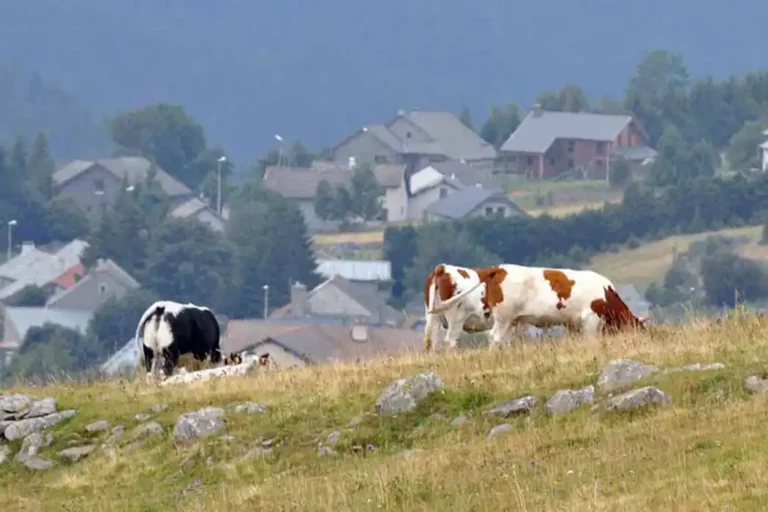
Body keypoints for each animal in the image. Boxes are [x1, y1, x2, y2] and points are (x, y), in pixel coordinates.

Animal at [428, 264, 644, 344]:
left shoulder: (572, 323)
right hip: (498, 317)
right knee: (493, 337)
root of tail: (499, 268)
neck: (606, 294)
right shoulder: (590, 318)